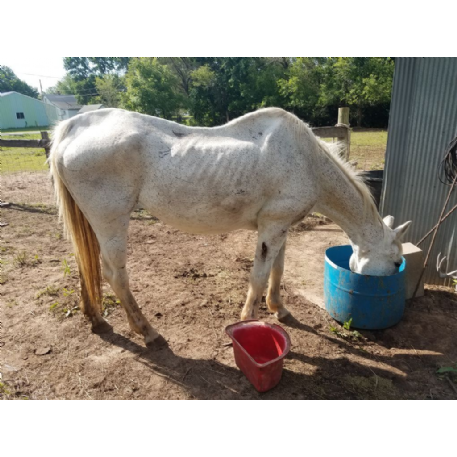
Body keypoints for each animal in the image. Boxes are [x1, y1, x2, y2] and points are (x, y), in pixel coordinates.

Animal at [48, 107, 412, 346]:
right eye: (396, 261)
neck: (306, 161)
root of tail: (74, 126)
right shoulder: (271, 229)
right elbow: (259, 275)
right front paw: (248, 319)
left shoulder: (280, 227)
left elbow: (277, 270)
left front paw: (279, 309)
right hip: (111, 221)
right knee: (115, 275)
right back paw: (147, 331)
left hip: (92, 222)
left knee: (86, 264)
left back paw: (96, 319)